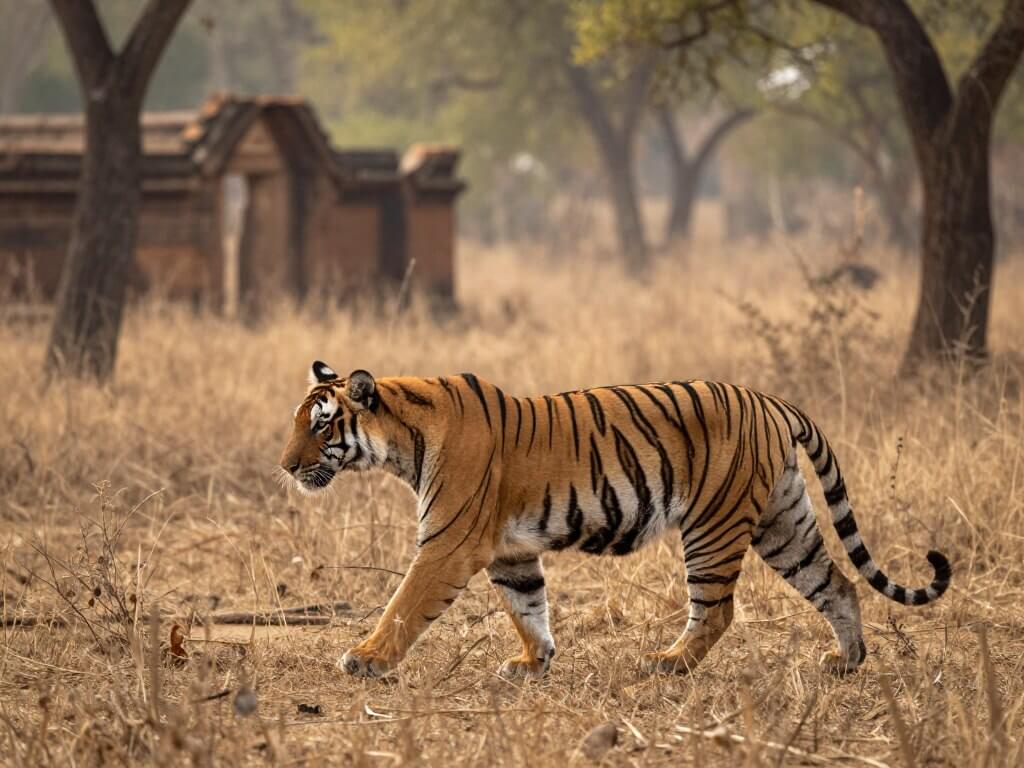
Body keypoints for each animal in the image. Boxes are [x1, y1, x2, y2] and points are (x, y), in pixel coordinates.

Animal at [279, 361, 951, 679]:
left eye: (321, 427)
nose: (285, 467)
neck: (403, 438)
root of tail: (769, 399)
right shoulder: (510, 551)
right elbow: (528, 608)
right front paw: (532, 664)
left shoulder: (449, 544)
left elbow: (404, 604)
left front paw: (365, 658)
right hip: (783, 523)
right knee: (837, 582)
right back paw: (847, 661)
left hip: (714, 526)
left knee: (718, 610)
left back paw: (667, 663)